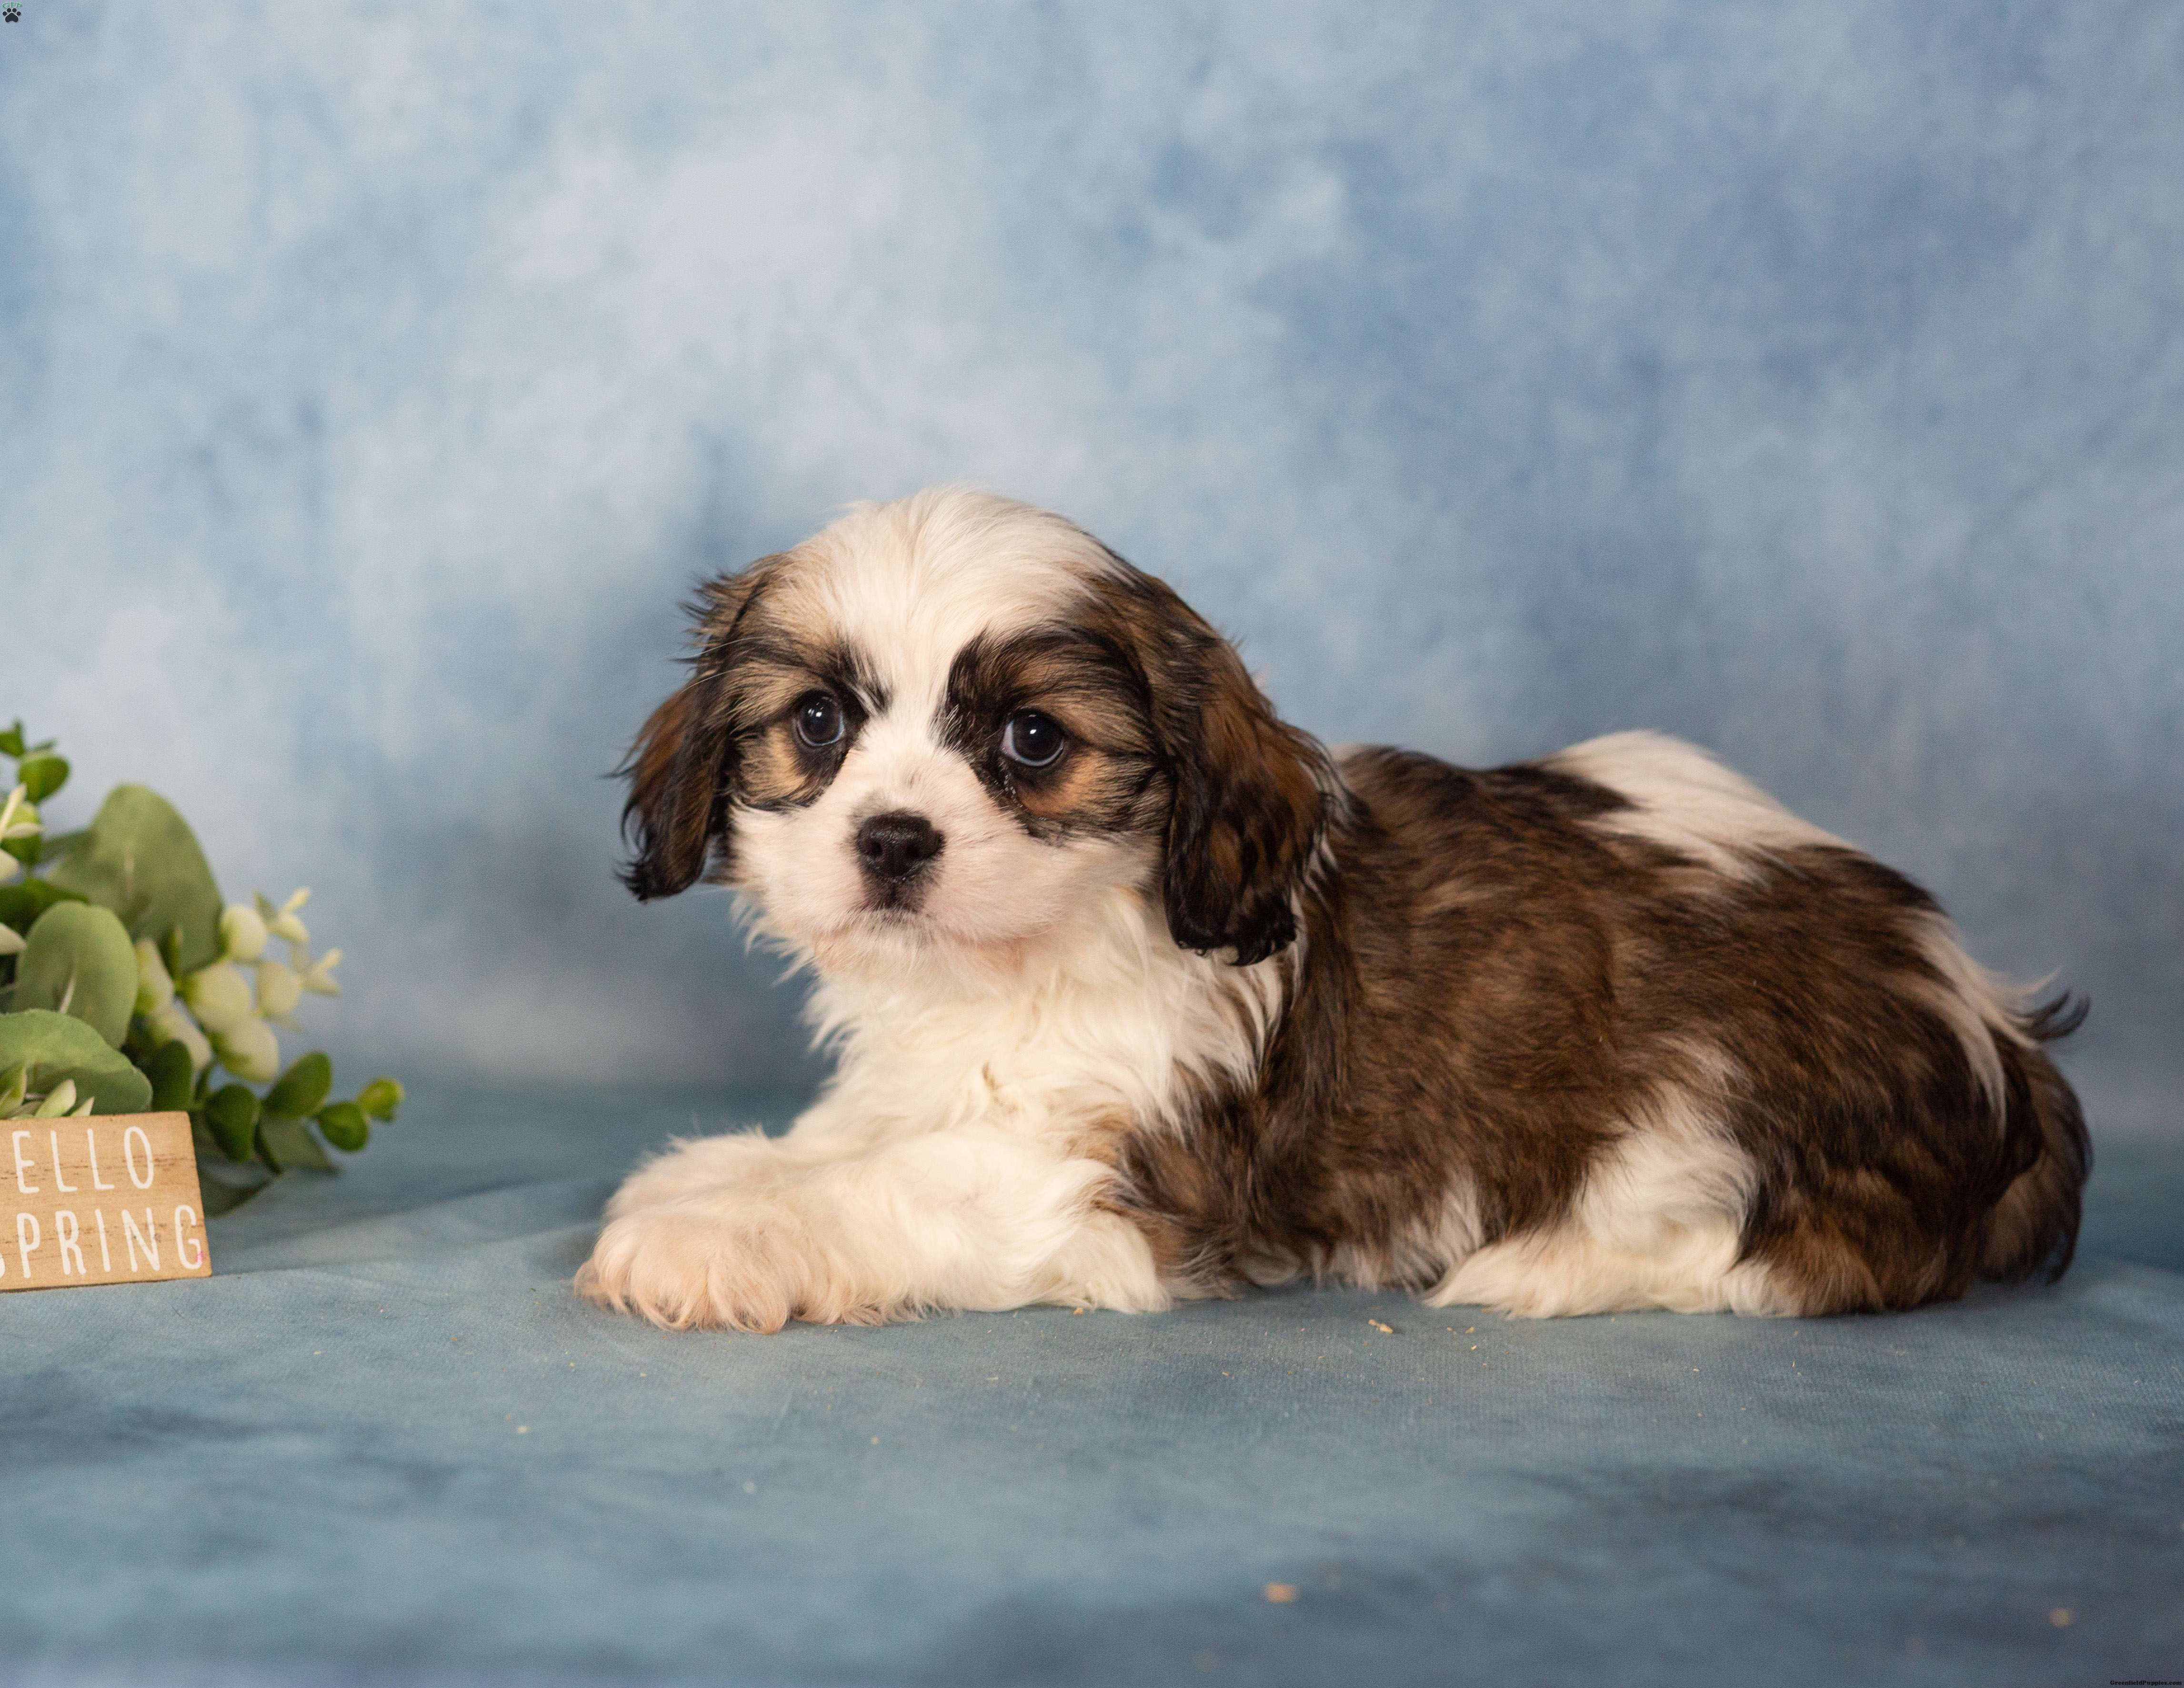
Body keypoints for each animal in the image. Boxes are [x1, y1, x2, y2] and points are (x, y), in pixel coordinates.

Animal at [577, 487, 2088, 1331]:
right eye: (818, 724)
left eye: (1032, 744)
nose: (892, 840)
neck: (1019, 968)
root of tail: (1990, 1021)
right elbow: (864, 1133)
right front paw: (730, 1170)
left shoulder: (1109, 1176)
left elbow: (904, 1185)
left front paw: (719, 1237)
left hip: (1710, 1100)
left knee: (1803, 1259)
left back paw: (1544, 1271)